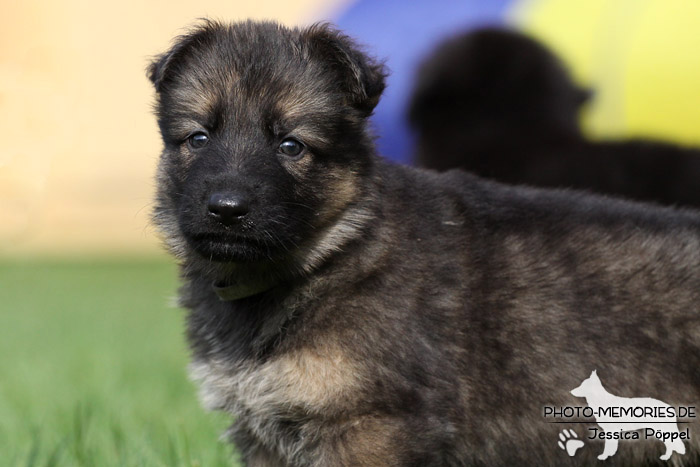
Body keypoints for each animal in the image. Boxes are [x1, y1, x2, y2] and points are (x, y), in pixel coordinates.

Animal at [149, 20, 700, 466]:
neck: (334, 250)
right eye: (198, 138)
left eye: (291, 145)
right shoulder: (265, 433)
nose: (226, 208)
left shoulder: (372, 424)